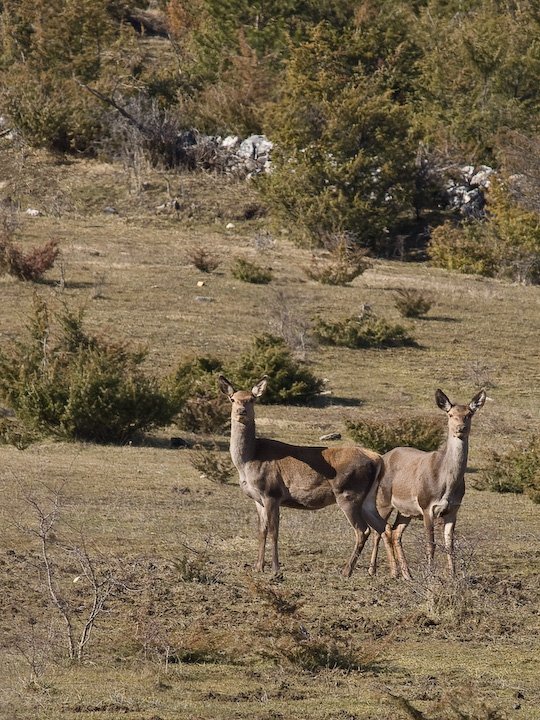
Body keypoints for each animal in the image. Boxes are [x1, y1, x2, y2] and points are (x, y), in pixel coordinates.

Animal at [218, 374, 392, 576]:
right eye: (232, 399)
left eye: (252, 399)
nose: (241, 411)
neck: (248, 460)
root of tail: (377, 459)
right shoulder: (257, 498)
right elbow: (261, 531)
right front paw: (258, 567)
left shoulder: (272, 493)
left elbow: (274, 531)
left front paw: (276, 569)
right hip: (368, 498)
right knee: (384, 527)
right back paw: (396, 572)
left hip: (349, 494)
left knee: (363, 530)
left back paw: (347, 571)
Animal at [368, 388, 486, 580]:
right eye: (450, 414)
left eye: (469, 414)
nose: (460, 428)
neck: (447, 485)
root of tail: (383, 458)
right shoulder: (426, 506)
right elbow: (431, 544)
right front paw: (430, 575)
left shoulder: (453, 510)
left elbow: (449, 545)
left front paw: (452, 575)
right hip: (383, 500)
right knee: (380, 530)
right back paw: (382, 571)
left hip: (406, 511)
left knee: (395, 532)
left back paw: (406, 574)